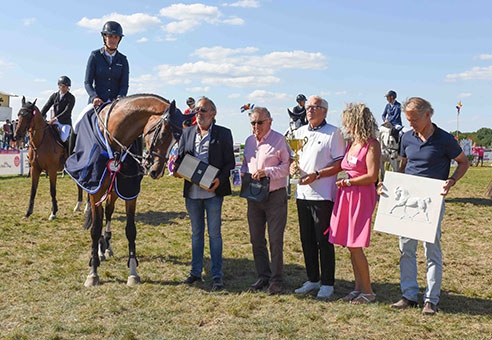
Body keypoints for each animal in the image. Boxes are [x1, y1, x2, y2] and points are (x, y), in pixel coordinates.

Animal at [73, 93, 186, 286]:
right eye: (163, 133)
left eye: (176, 140)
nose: (156, 171)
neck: (114, 140)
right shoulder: (95, 190)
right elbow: (95, 229)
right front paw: (93, 272)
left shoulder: (129, 191)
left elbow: (130, 229)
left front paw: (133, 272)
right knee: (99, 217)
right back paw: (99, 252)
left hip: (113, 191)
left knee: (109, 212)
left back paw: (106, 247)